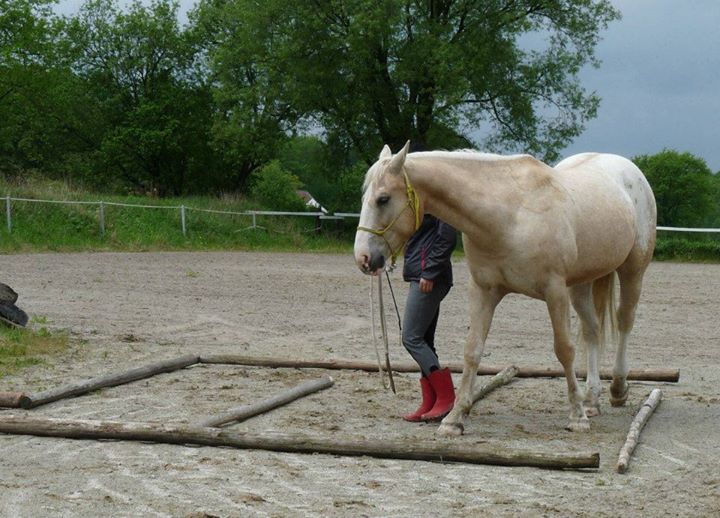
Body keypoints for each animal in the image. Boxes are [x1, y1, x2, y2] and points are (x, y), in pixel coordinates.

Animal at [354, 141, 660, 434]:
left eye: (383, 199)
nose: (364, 258)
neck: (509, 214)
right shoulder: (484, 291)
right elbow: (472, 350)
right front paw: (454, 419)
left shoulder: (555, 291)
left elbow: (564, 350)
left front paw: (576, 417)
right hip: (581, 284)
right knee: (593, 330)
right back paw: (592, 400)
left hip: (632, 271)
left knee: (624, 321)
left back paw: (617, 389)